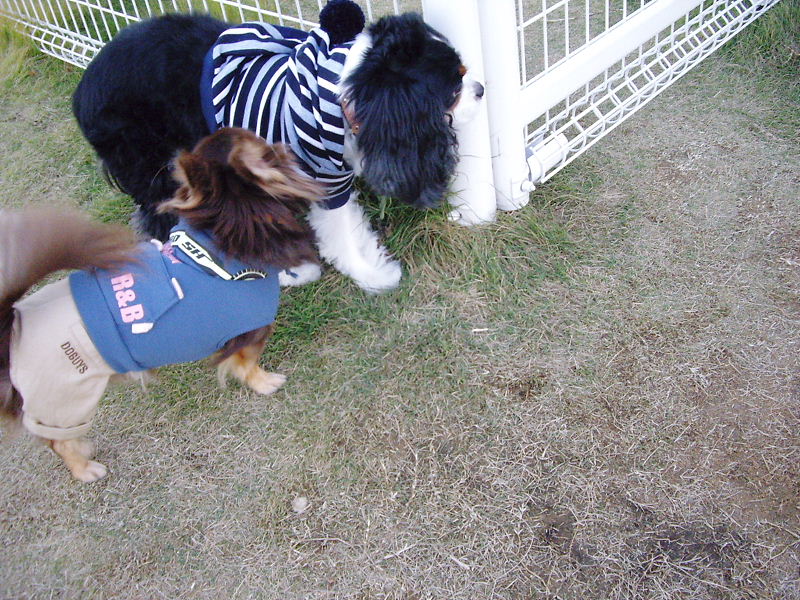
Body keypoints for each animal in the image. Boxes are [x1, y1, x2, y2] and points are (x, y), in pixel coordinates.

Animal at [0, 127, 322, 482]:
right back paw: (84, 469)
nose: (283, 142)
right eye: (263, 147)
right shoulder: (249, 333)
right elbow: (246, 365)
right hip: (68, 399)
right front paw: (265, 384)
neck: (215, 251)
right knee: (57, 442)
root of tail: (14, 327)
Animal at [71, 4, 484, 293]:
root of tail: (86, 80)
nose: (481, 89)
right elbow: (341, 232)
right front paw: (369, 273)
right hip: (152, 163)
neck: (343, 93)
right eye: (455, 86)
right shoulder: (321, 178)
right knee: (157, 212)